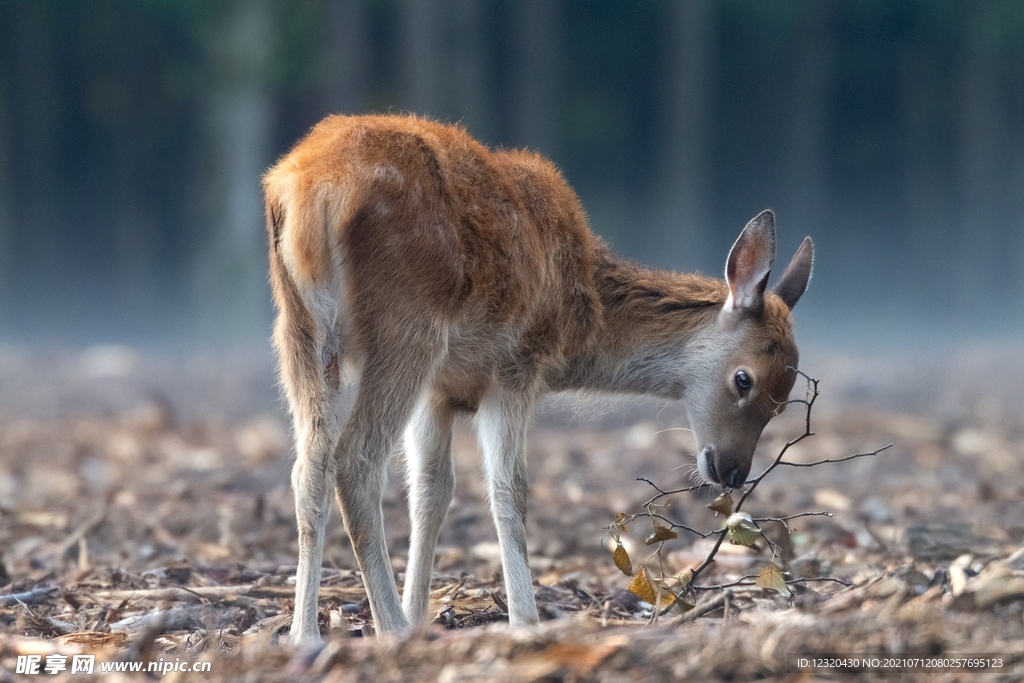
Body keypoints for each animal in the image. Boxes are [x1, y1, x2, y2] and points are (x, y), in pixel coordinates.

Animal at [264, 112, 815, 643]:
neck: (581, 318)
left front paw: (421, 612)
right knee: (357, 459)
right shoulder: (515, 365)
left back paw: (305, 636)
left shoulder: (439, 390)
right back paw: (389, 630)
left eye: (783, 400)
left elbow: (431, 490)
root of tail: (310, 190)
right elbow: (509, 490)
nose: (733, 471)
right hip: (407, 328)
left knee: (309, 466)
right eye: (744, 379)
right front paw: (523, 621)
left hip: (298, 331)